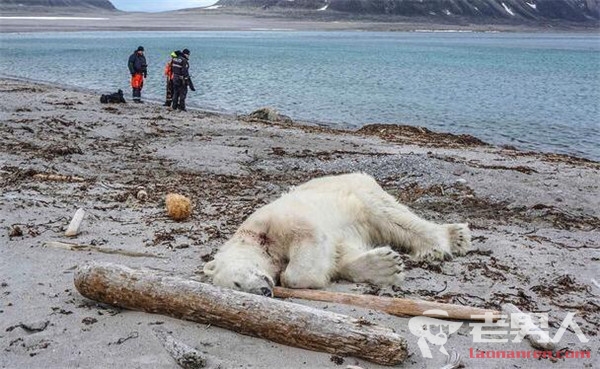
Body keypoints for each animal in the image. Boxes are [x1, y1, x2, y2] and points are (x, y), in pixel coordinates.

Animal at [204, 172, 472, 296]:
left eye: (237, 282)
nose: (264, 291)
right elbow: (341, 254)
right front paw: (385, 265)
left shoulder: (276, 221)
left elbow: (306, 245)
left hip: (359, 192)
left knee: (391, 216)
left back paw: (448, 240)